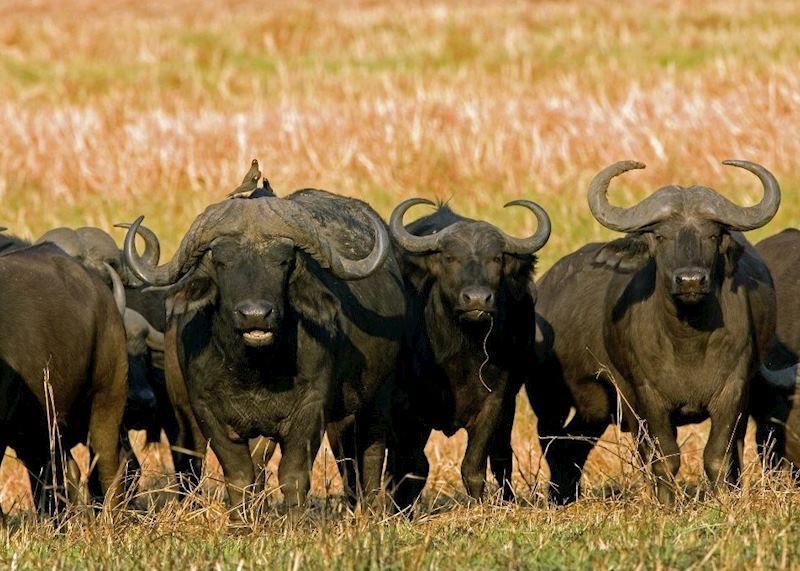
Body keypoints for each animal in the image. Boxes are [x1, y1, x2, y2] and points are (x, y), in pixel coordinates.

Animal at [122, 170, 406, 514]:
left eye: (283, 261)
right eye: (222, 262)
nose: (255, 315)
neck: (254, 370)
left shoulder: (312, 408)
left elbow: (293, 475)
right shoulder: (206, 410)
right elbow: (240, 475)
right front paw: (242, 519)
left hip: (378, 395)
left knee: (371, 451)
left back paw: (374, 508)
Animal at [387, 198, 550, 509]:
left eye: (496, 259)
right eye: (450, 258)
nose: (477, 299)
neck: (460, 354)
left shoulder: (496, 400)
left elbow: (473, 465)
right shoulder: (407, 404)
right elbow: (414, 466)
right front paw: (404, 511)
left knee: (502, 455)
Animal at [527, 160, 779, 504]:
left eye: (712, 235)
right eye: (661, 235)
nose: (690, 280)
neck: (688, 340)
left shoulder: (733, 389)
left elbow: (718, 454)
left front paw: (724, 499)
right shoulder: (648, 396)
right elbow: (664, 456)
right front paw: (666, 503)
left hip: (595, 408)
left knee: (572, 446)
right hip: (549, 398)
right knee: (553, 442)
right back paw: (558, 497)